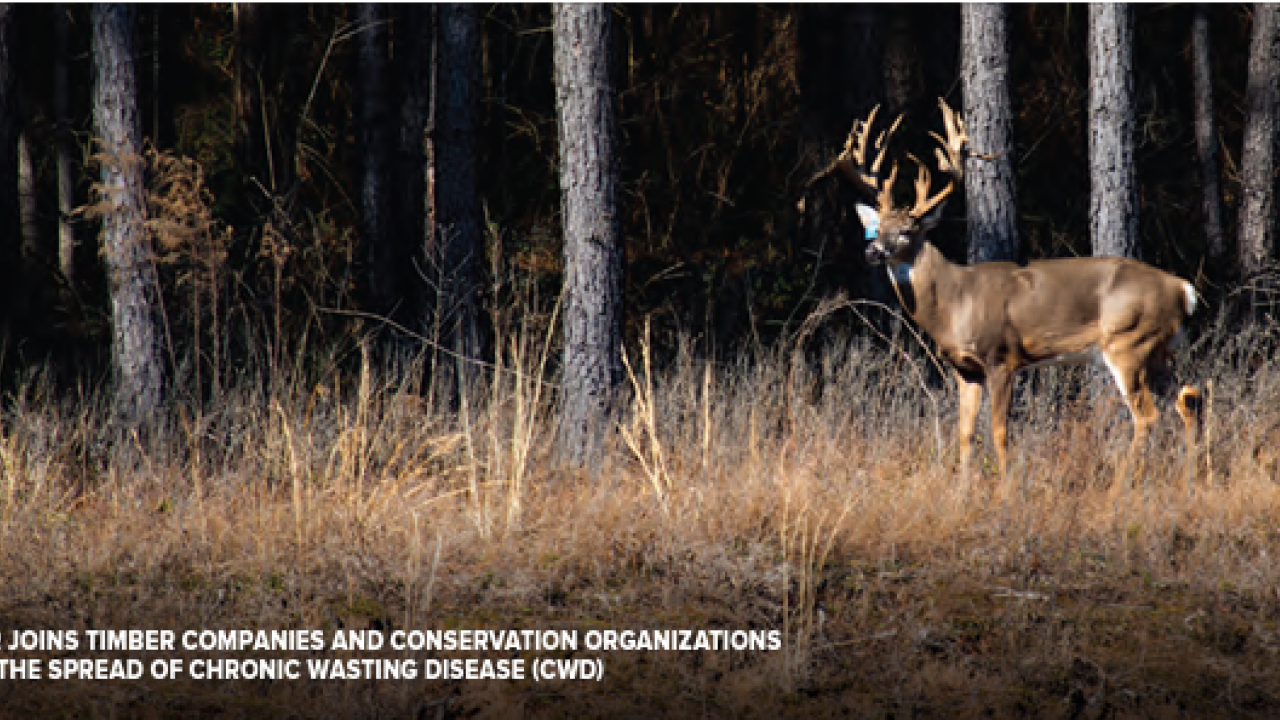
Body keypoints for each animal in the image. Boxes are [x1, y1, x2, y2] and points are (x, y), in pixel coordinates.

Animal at [814, 99, 1200, 486]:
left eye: (907, 230)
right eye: (877, 228)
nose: (872, 251)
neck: (954, 305)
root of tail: (1183, 289)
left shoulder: (1000, 356)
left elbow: (1000, 431)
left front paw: (1006, 488)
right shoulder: (965, 368)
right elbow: (965, 432)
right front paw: (963, 489)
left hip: (1128, 343)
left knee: (1147, 415)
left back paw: (1120, 488)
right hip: (1158, 351)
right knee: (1187, 398)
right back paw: (1190, 479)